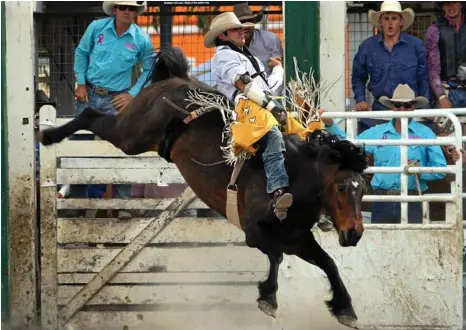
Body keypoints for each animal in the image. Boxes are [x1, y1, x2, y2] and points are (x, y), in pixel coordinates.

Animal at [40, 46, 368, 328]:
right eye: (341, 188)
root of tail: (175, 79)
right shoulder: (255, 233)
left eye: (363, 188)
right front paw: (268, 297)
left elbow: (328, 263)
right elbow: (276, 257)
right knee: (89, 115)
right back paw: (48, 135)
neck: (293, 180)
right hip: (130, 135)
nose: (354, 234)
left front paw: (346, 308)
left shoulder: (297, 239)